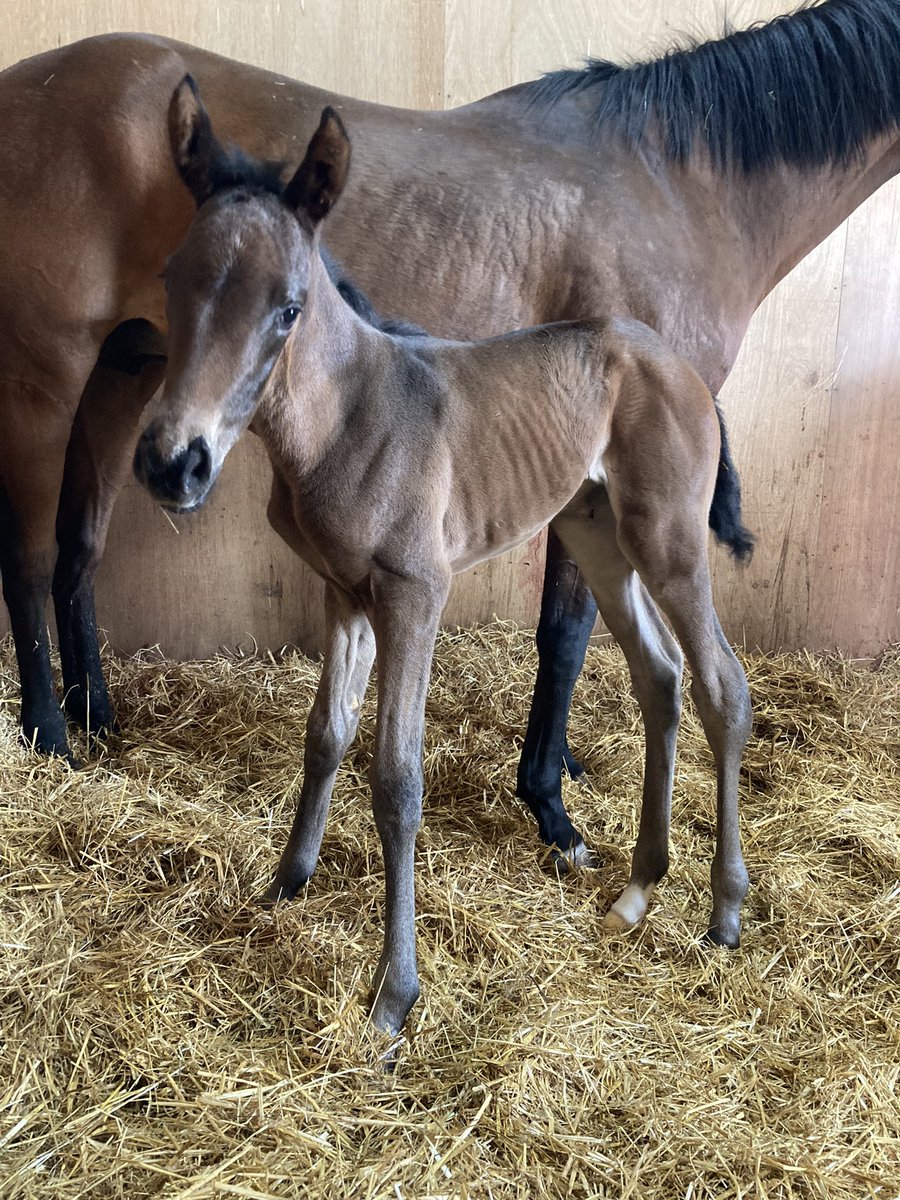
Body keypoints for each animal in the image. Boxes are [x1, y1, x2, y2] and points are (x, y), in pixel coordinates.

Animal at [0, 0, 896, 867]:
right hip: (46, 383)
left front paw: (560, 772)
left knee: (81, 550)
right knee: (33, 560)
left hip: (124, 377)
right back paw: (51, 737)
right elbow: (564, 634)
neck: (681, 183)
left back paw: (98, 717)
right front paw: (550, 806)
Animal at [134, 78, 755, 1034]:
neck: (349, 417)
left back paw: (723, 909)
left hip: (669, 540)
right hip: (595, 536)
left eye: (288, 306)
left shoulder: (413, 594)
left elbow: (397, 779)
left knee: (722, 683)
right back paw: (638, 888)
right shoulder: (342, 592)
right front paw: (286, 885)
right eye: (173, 279)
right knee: (660, 678)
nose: (174, 463)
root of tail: (680, 367)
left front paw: (394, 995)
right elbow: (325, 735)